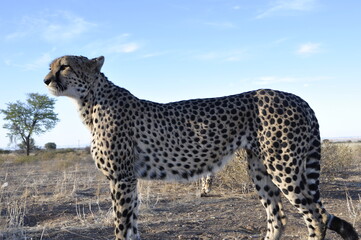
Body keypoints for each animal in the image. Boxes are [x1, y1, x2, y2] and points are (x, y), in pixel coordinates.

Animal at [43, 55, 356, 239]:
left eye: (64, 66)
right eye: (50, 66)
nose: (45, 80)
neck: (90, 101)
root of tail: (297, 97)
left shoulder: (121, 178)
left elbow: (121, 226)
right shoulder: (129, 179)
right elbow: (131, 224)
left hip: (283, 166)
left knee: (315, 217)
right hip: (259, 168)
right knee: (278, 216)